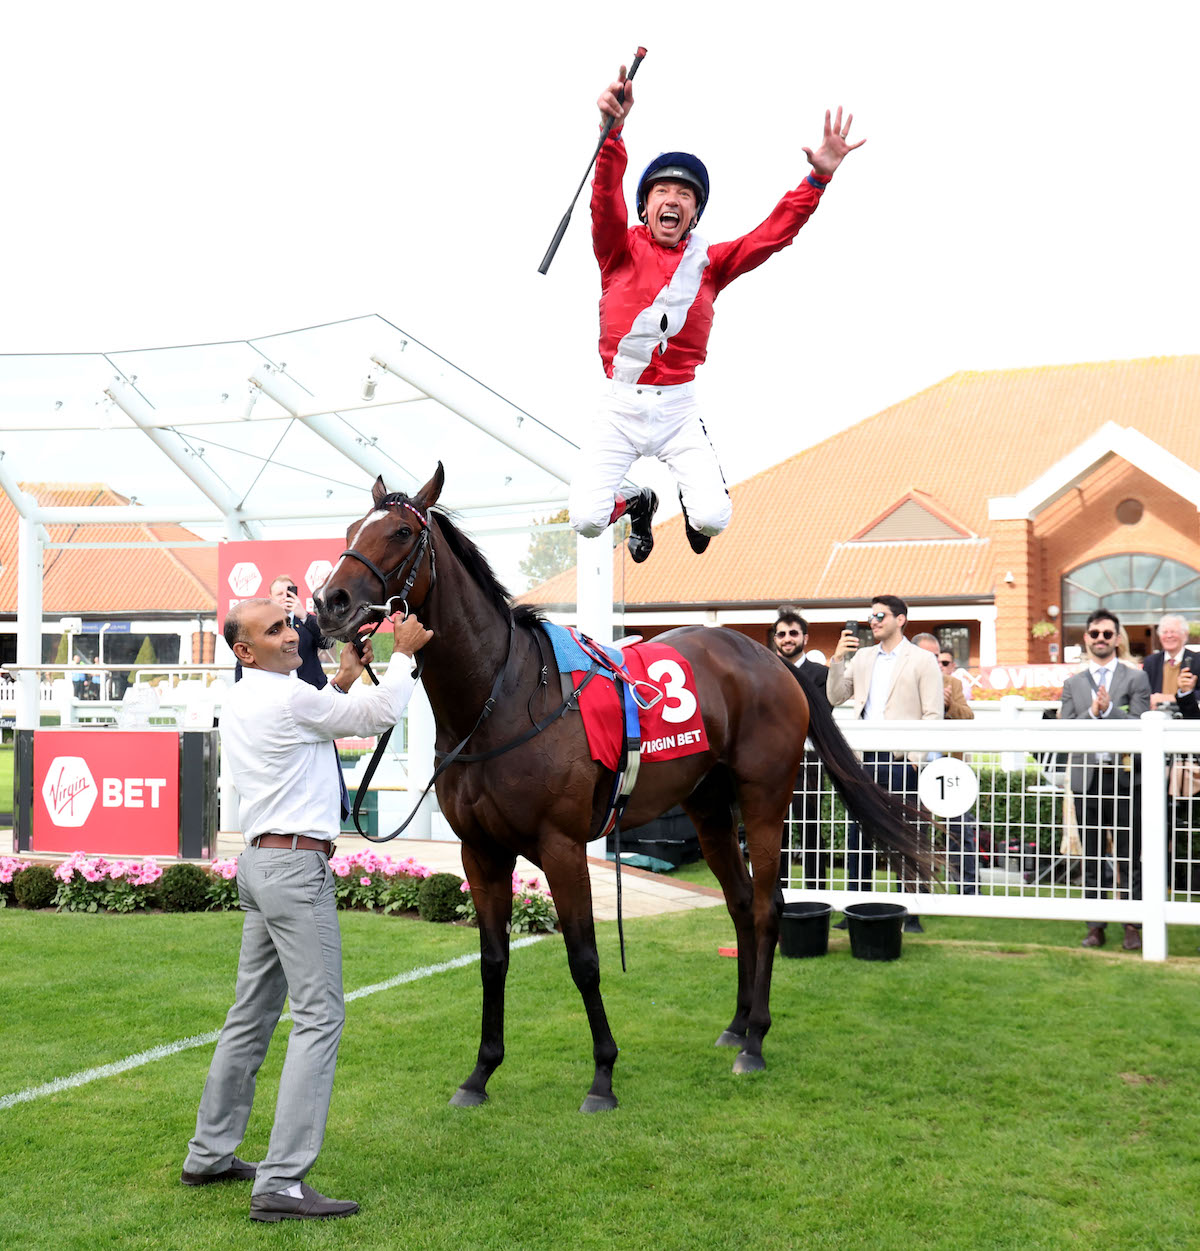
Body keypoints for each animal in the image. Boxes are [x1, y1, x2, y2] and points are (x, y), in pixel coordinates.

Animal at [314, 465, 935, 1110]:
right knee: (740, 903)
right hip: (709, 808)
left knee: (768, 908)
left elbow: (584, 959)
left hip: (764, 800)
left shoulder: (562, 847)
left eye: (402, 532)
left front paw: (603, 1075)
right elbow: (492, 959)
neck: (500, 697)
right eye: (352, 529)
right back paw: (736, 1024)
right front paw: (480, 1073)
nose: (329, 603)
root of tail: (770, 656)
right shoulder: (480, 851)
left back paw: (755, 1041)